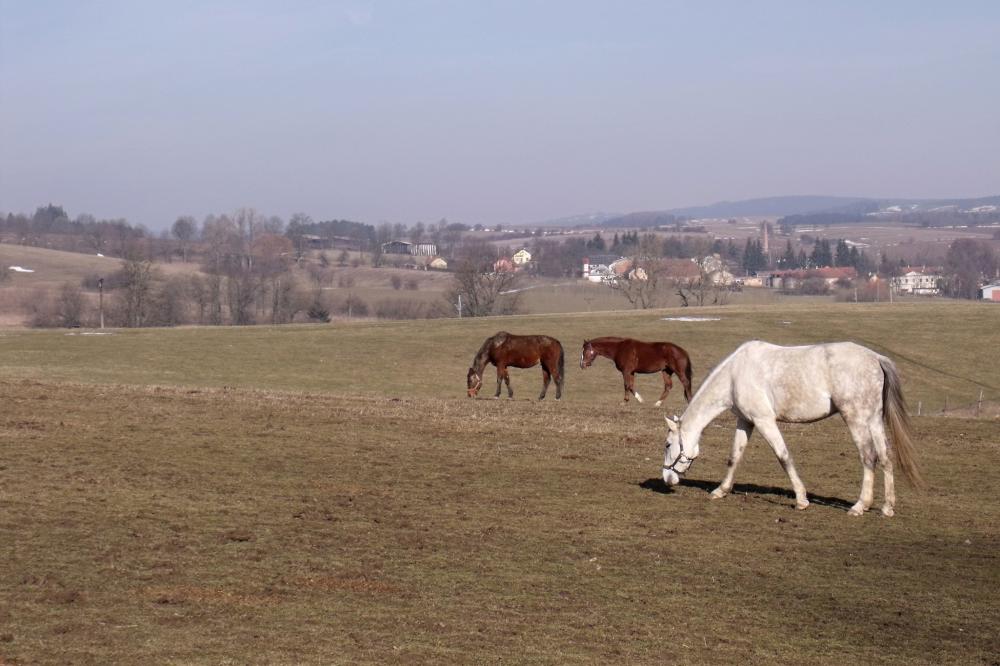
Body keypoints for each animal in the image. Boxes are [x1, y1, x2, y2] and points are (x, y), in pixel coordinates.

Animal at [664, 340, 920, 516]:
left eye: (667, 444)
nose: (667, 478)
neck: (734, 375)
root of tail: (876, 358)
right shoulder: (746, 422)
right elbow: (734, 457)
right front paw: (721, 490)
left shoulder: (764, 420)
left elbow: (783, 456)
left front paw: (801, 500)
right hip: (874, 419)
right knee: (886, 458)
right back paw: (887, 507)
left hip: (856, 419)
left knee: (869, 457)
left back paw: (859, 506)